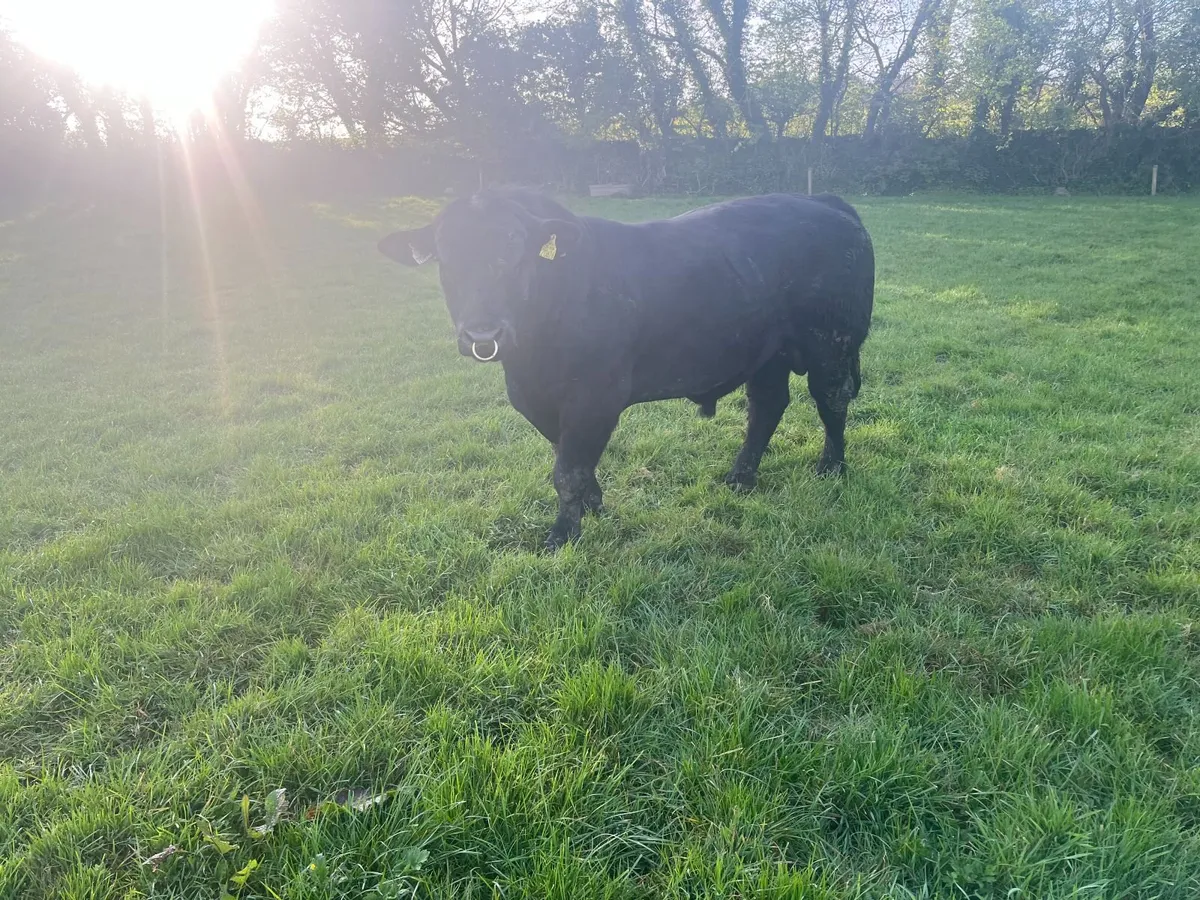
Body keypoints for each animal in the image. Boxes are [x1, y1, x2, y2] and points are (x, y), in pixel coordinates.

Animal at [378, 189, 875, 550]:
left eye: (516, 253)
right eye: (445, 257)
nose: (482, 331)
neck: (530, 362)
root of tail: (825, 202)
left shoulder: (596, 396)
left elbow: (567, 470)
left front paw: (563, 534)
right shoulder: (542, 403)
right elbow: (570, 459)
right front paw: (594, 508)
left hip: (832, 343)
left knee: (832, 401)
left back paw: (831, 468)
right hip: (766, 352)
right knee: (767, 406)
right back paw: (740, 477)